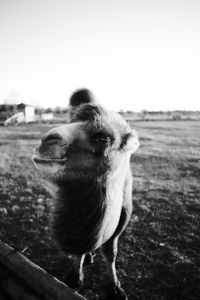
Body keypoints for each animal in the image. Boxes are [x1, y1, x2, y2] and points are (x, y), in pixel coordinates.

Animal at [32, 88, 139, 298]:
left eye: (104, 138)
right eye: (71, 121)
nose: (47, 141)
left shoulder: (120, 225)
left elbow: (111, 252)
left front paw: (115, 287)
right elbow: (79, 252)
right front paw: (75, 278)